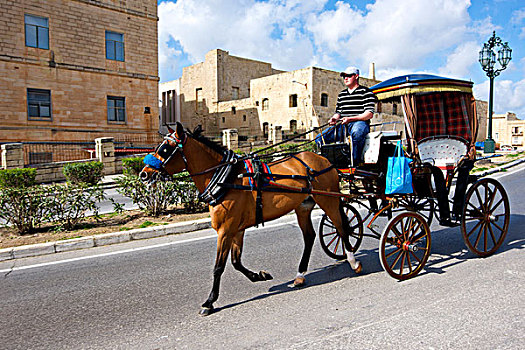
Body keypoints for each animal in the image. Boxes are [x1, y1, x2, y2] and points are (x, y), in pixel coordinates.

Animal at [139, 122, 360, 314]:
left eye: (165, 149)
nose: (143, 174)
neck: (225, 178)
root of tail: (324, 160)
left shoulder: (226, 230)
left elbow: (219, 267)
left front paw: (210, 301)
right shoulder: (236, 229)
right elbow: (236, 262)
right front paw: (259, 276)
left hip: (328, 200)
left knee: (341, 227)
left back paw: (353, 261)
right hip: (303, 206)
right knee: (310, 237)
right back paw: (300, 275)